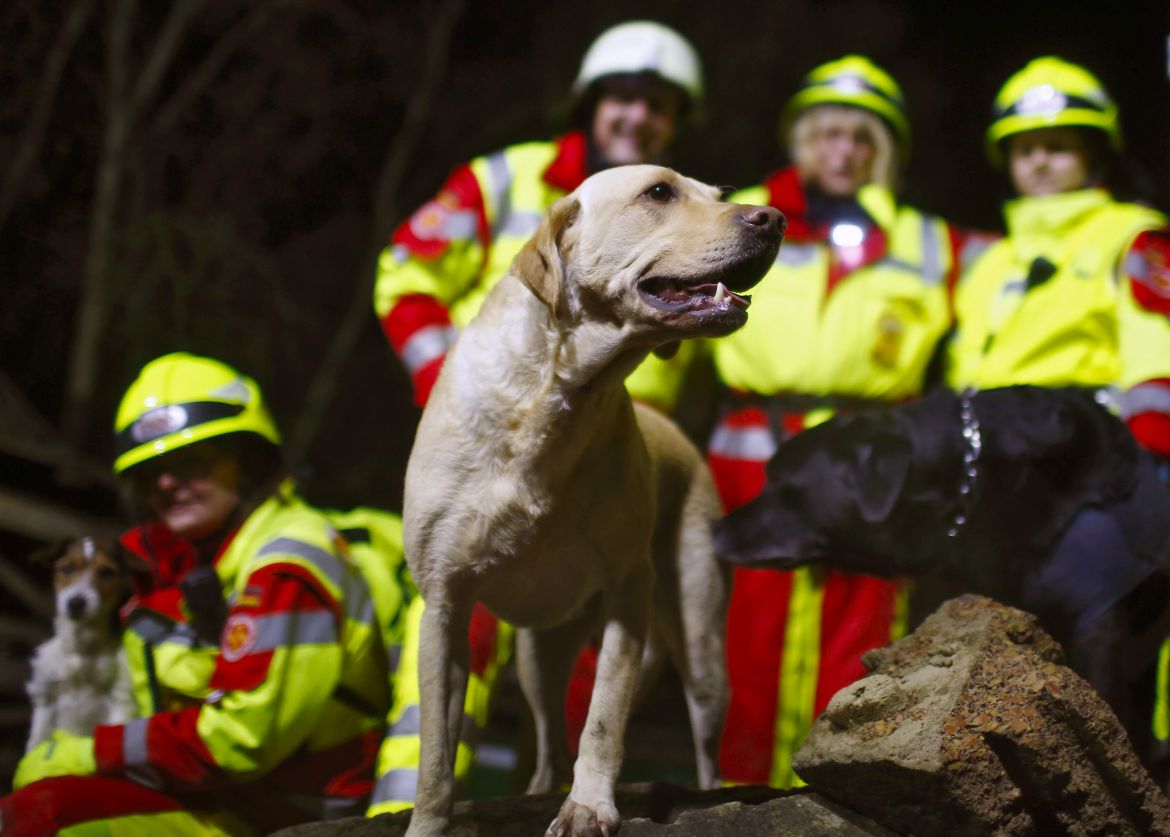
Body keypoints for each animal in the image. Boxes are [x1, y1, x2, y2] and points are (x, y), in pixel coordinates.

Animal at [404, 165, 786, 837]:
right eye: (659, 192)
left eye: (717, 196)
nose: (775, 218)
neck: (554, 396)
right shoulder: (444, 604)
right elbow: (435, 757)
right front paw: (427, 823)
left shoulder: (628, 591)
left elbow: (604, 715)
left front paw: (588, 807)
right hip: (538, 656)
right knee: (549, 745)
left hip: (701, 647)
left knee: (703, 748)